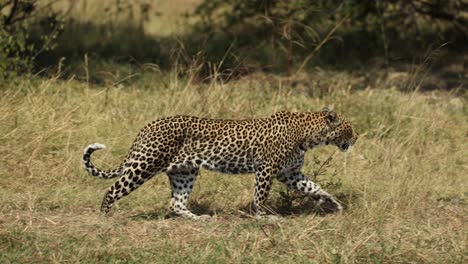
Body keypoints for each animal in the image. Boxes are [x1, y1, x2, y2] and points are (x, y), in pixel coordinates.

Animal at [82, 108, 356, 220]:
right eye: (349, 129)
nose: (356, 139)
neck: (309, 135)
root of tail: (147, 127)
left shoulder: (290, 173)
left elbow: (315, 187)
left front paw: (333, 203)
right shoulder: (267, 169)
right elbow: (260, 196)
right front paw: (263, 217)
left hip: (185, 171)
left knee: (176, 203)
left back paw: (200, 219)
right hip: (146, 164)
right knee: (112, 189)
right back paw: (105, 218)